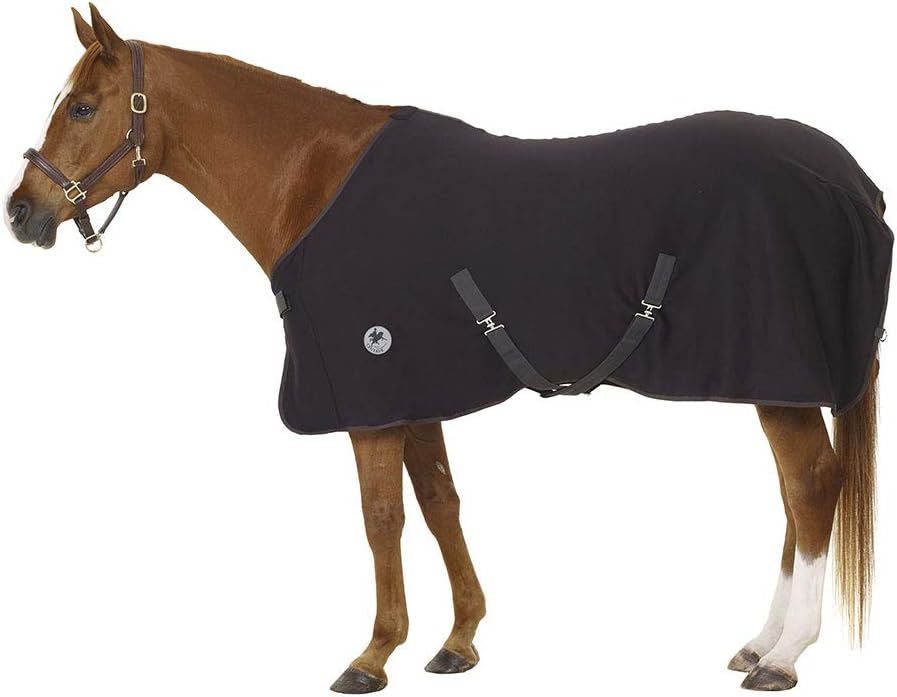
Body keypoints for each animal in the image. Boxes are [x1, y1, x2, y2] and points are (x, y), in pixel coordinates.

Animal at [5, 5, 890, 693]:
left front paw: (372, 654)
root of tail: (849, 180)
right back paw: (758, 641)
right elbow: (438, 501)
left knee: (811, 484)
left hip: (776, 375)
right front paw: (459, 640)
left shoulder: (369, 393)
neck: (317, 180)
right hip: (776, 382)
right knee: (797, 494)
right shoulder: (414, 386)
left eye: (81, 107)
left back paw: (783, 656)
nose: (23, 212)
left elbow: (382, 516)